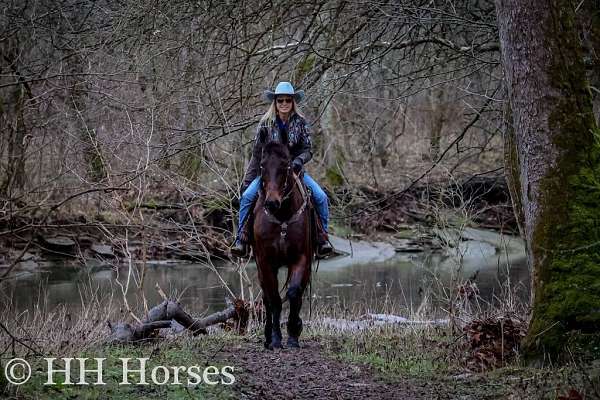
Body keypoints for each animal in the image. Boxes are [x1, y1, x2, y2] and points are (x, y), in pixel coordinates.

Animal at [251, 142, 314, 348]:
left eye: (286, 166)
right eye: (262, 165)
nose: (272, 202)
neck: (282, 217)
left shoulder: (302, 258)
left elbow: (294, 293)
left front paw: (294, 333)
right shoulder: (265, 262)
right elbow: (274, 299)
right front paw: (276, 338)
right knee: (266, 297)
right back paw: (267, 336)